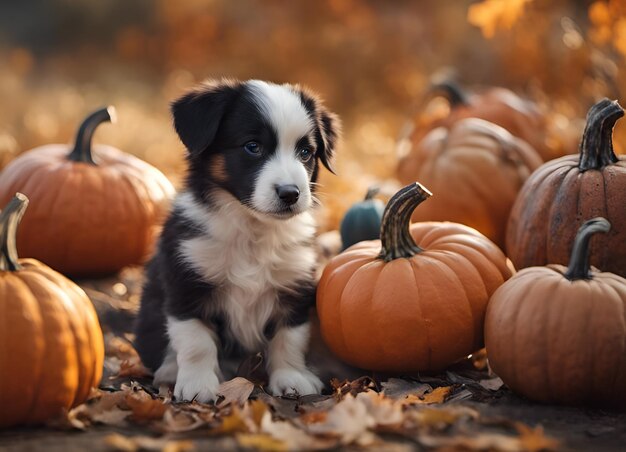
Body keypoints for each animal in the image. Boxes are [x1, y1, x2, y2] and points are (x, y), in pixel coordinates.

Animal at [133, 78, 338, 402]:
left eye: (305, 152)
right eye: (252, 147)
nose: (290, 193)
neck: (252, 227)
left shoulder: (294, 284)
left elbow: (290, 338)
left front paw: (292, 378)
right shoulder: (187, 282)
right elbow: (196, 341)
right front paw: (197, 385)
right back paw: (169, 371)